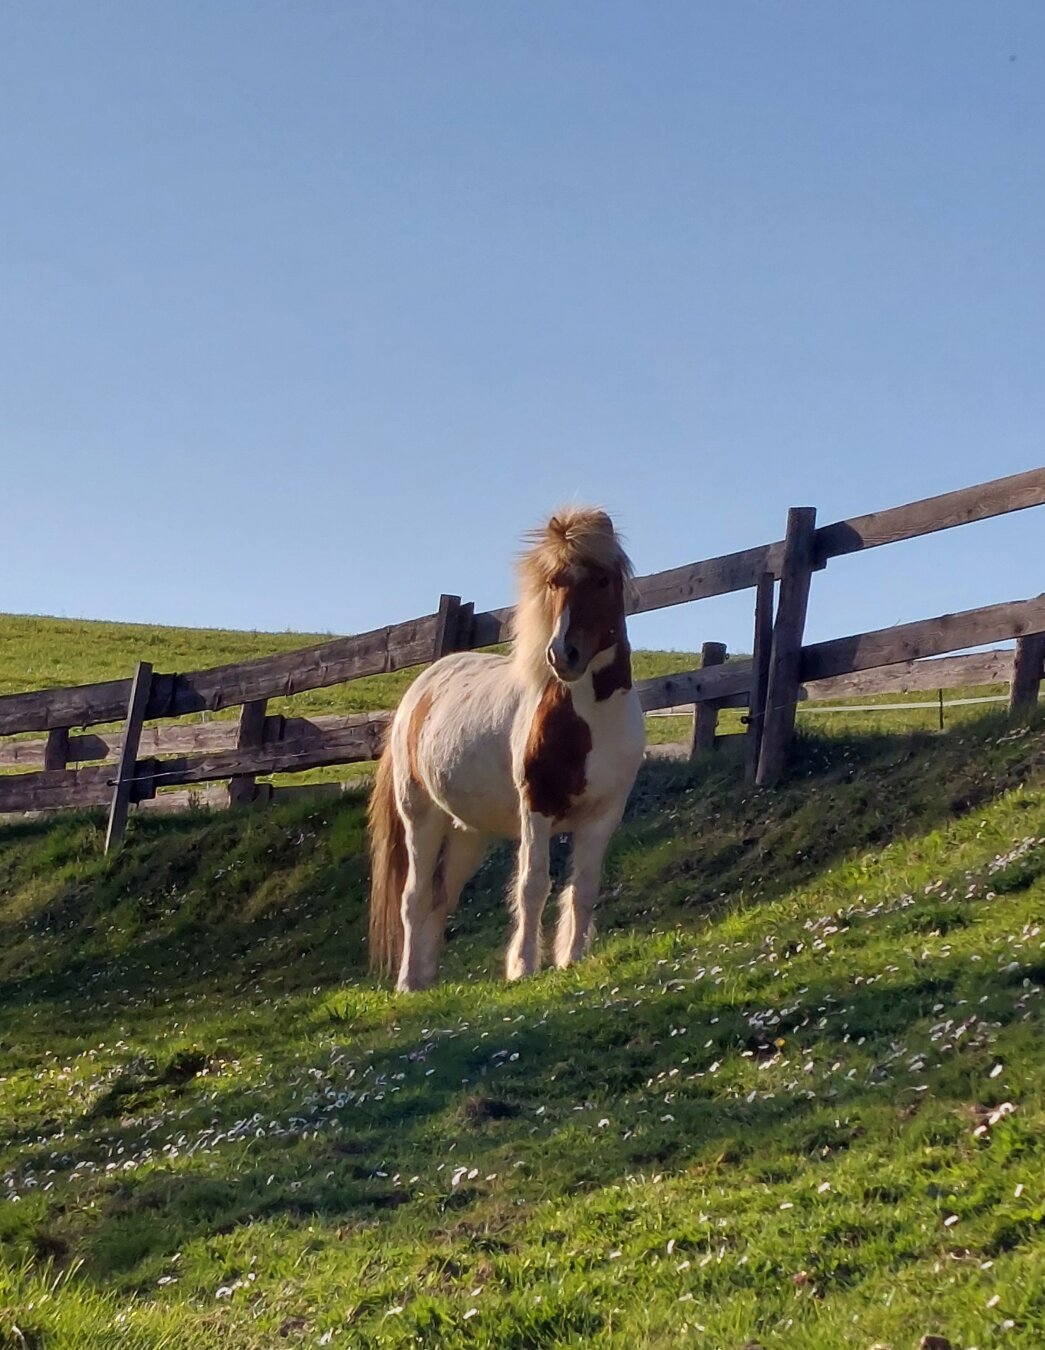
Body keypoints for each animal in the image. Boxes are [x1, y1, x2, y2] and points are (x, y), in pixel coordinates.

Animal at [368, 506, 645, 992]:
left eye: (602, 580)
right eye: (553, 582)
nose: (563, 655)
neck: (593, 717)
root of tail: (418, 692)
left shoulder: (604, 815)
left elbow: (584, 887)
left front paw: (571, 960)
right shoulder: (537, 807)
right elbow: (533, 885)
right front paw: (524, 967)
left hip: (467, 833)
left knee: (440, 898)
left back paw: (426, 980)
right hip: (421, 817)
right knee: (414, 898)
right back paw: (407, 985)